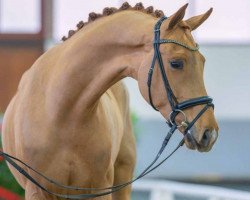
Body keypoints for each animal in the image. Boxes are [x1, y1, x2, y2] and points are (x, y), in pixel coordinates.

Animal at [1, 2, 217, 199]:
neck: (61, 110)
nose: (210, 133)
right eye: (176, 63)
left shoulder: (99, 188)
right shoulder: (37, 190)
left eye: (203, 62)